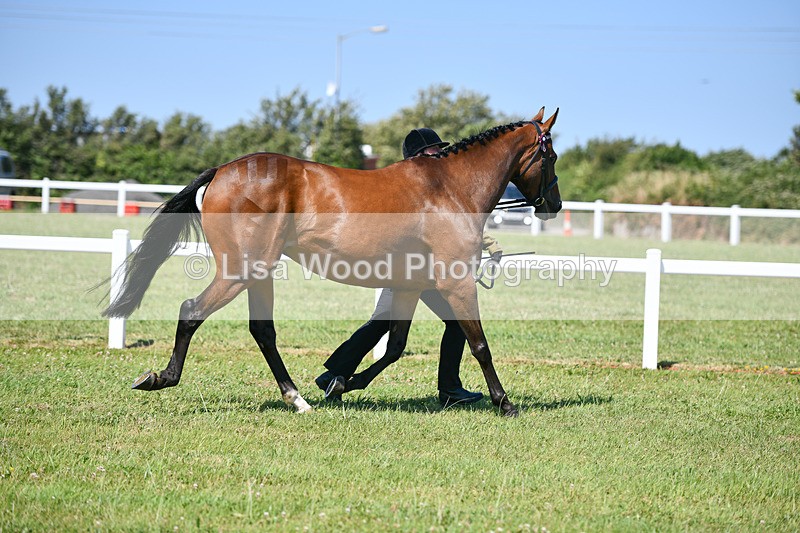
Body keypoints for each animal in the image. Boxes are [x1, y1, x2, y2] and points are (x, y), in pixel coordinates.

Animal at [103, 107, 562, 417]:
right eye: (552, 156)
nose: (553, 205)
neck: (448, 188)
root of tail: (221, 172)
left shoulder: (412, 285)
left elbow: (395, 346)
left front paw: (341, 382)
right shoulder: (455, 283)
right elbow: (478, 344)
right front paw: (506, 403)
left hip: (259, 273)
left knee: (262, 331)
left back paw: (297, 398)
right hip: (241, 271)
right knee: (192, 311)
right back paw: (161, 378)